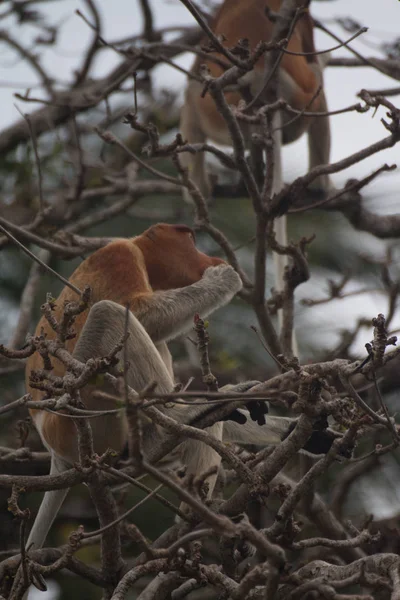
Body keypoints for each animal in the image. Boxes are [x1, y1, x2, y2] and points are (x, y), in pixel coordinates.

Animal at [24, 223, 334, 560]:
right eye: (190, 239)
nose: (211, 258)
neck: (139, 251)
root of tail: (55, 450)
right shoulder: (119, 255)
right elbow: (139, 310)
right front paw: (224, 277)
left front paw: (305, 431)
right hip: (82, 408)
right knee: (110, 313)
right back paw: (183, 419)